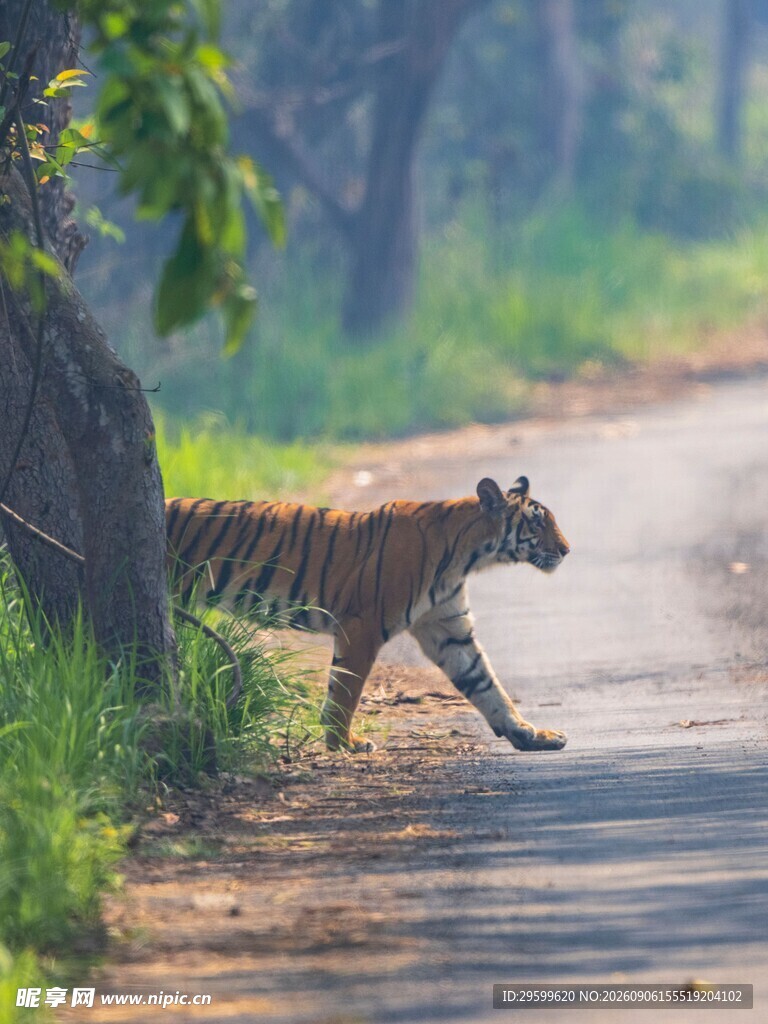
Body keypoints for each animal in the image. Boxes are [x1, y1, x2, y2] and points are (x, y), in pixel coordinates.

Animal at [165, 475, 570, 754]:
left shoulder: (448, 628)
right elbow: (346, 691)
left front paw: (529, 733)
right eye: (537, 523)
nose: (567, 550)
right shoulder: (362, 625)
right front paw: (344, 743)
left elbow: (486, 684)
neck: (468, 557)